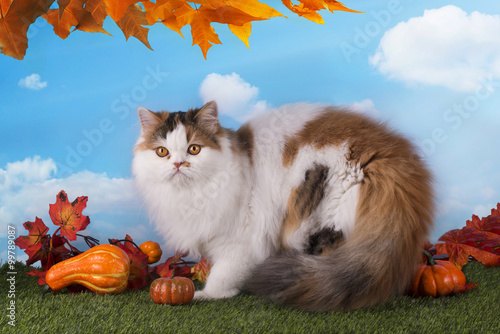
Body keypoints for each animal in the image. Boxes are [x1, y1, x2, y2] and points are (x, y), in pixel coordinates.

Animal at [133, 101, 434, 310]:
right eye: (162, 152)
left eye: (194, 149)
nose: (178, 164)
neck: (190, 194)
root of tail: (385, 153)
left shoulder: (241, 240)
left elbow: (223, 273)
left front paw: (208, 294)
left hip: (323, 220)